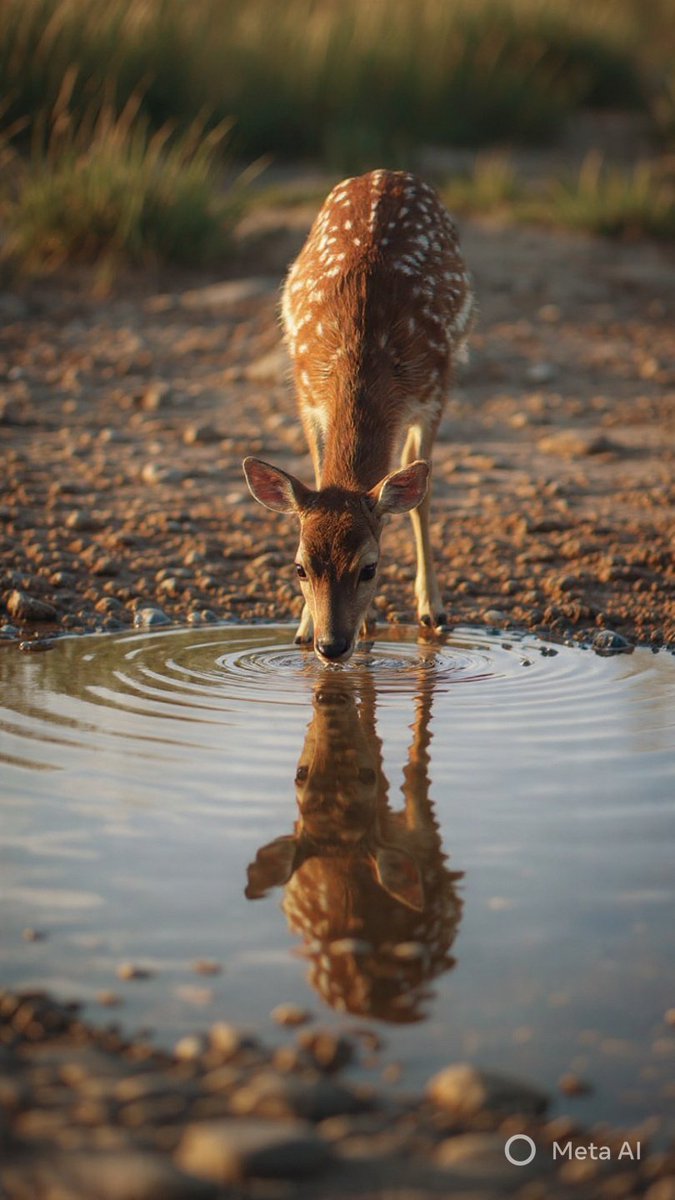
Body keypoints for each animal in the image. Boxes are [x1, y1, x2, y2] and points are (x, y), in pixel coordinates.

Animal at [243, 169, 474, 664]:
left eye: (370, 568)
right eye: (300, 567)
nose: (331, 645)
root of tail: (386, 173)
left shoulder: (435, 388)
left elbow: (422, 495)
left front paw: (430, 608)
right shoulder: (306, 391)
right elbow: (317, 476)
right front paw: (304, 626)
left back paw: (430, 609)